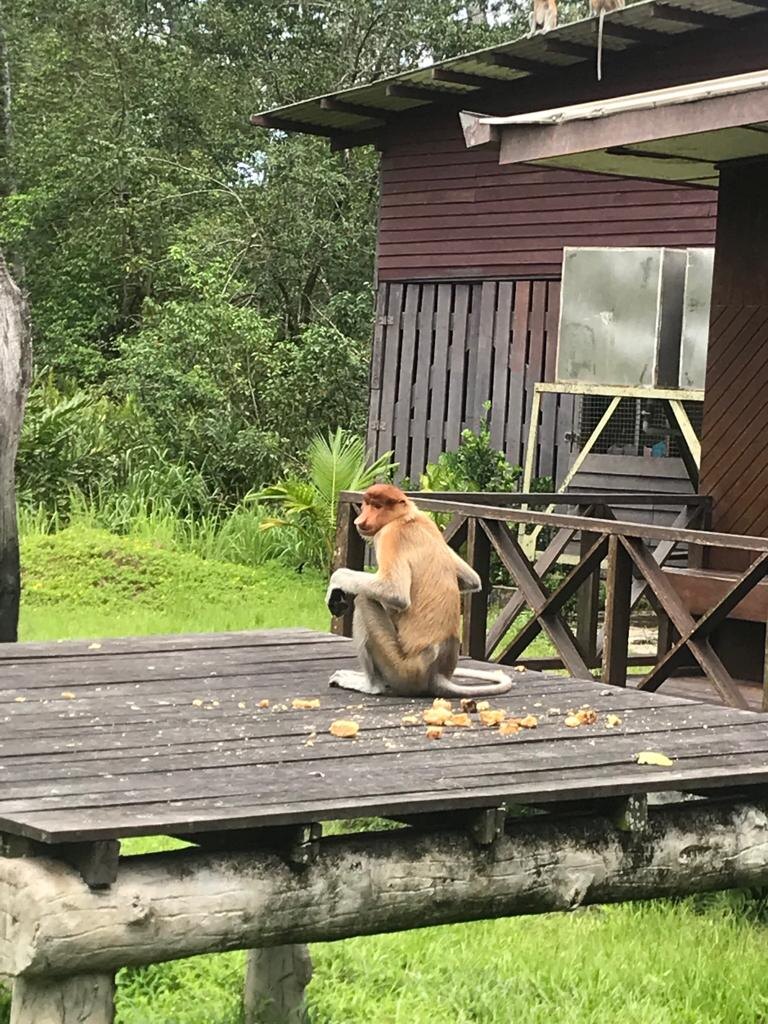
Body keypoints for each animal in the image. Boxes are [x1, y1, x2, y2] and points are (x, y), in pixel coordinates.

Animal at [325, 485, 512, 696]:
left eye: (377, 506)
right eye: (367, 504)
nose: (361, 521)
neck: (404, 516)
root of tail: (436, 675)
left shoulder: (390, 535)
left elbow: (395, 593)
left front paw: (336, 585)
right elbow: (471, 580)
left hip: (401, 668)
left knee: (365, 601)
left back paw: (371, 686)